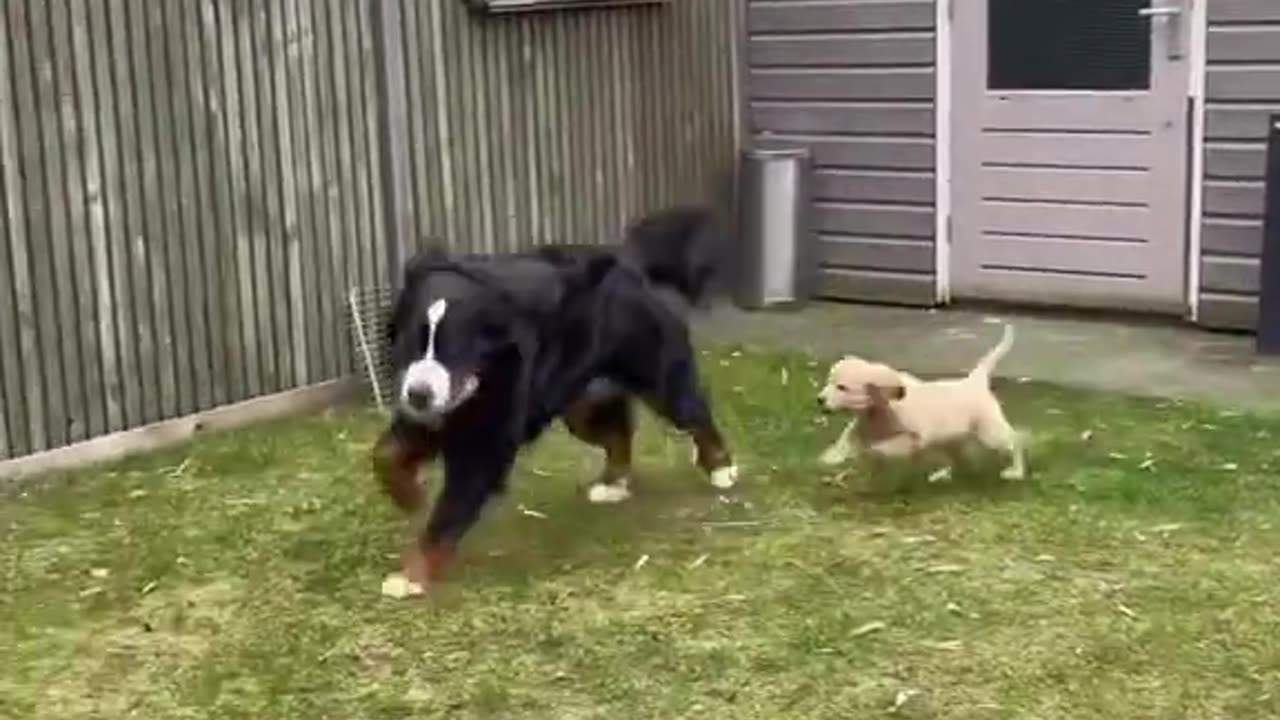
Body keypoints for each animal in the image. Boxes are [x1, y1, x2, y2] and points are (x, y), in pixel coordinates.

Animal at [371, 204, 737, 586]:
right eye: (411, 343)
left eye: (456, 350)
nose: (419, 395)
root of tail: (627, 261)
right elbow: (384, 454)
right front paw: (410, 496)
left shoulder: (484, 442)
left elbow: (448, 514)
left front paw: (411, 575)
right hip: (582, 408)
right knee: (619, 434)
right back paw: (614, 483)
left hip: (660, 378)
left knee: (696, 417)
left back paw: (721, 468)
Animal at [819, 324, 1029, 479]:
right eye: (829, 382)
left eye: (842, 387)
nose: (819, 400)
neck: (881, 407)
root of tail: (975, 381)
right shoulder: (864, 425)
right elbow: (848, 434)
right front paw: (832, 456)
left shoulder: (912, 437)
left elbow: (886, 448)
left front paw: (872, 452)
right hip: (952, 438)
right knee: (957, 457)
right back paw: (944, 474)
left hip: (989, 431)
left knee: (1015, 441)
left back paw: (1016, 471)